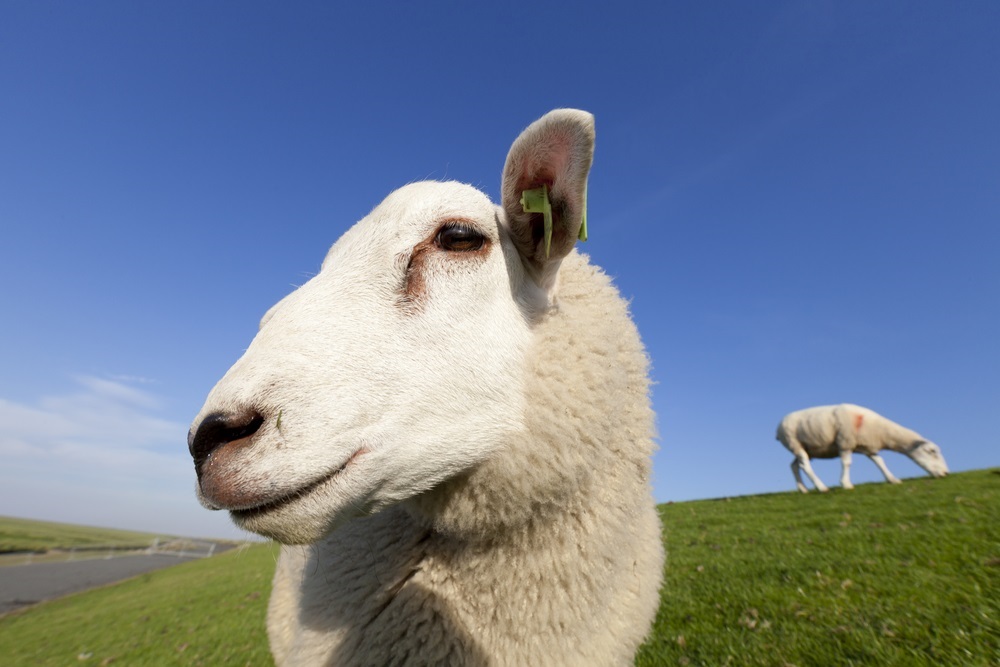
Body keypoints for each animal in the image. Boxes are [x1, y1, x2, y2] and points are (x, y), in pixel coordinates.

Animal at [776, 403, 949, 493]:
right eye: (932, 452)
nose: (946, 473)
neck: (880, 431)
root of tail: (778, 428)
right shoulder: (845, 442)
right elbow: (847, 463)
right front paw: (846, 484)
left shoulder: (868, 447)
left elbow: (880, 462)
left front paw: (892, 479)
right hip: (795, 443)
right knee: (805, 465)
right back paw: (821, 487)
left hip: (808, 448)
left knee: (794, 465)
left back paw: (803, 489)